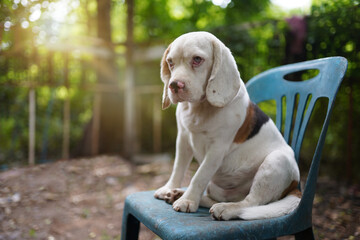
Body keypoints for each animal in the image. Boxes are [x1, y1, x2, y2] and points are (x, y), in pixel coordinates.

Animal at [155, 32, 300, 221]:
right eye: (171, 62)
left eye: (197, 59)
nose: (174, 85)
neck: (200, 108)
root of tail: (296, 186)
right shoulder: (183, 139)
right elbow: (178, 168)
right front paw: (170, 188)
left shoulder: (217, 149)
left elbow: (199, 176)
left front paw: (188, 201)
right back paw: (179, 194)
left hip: (276, 161)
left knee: (251, 203)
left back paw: (226, 209)